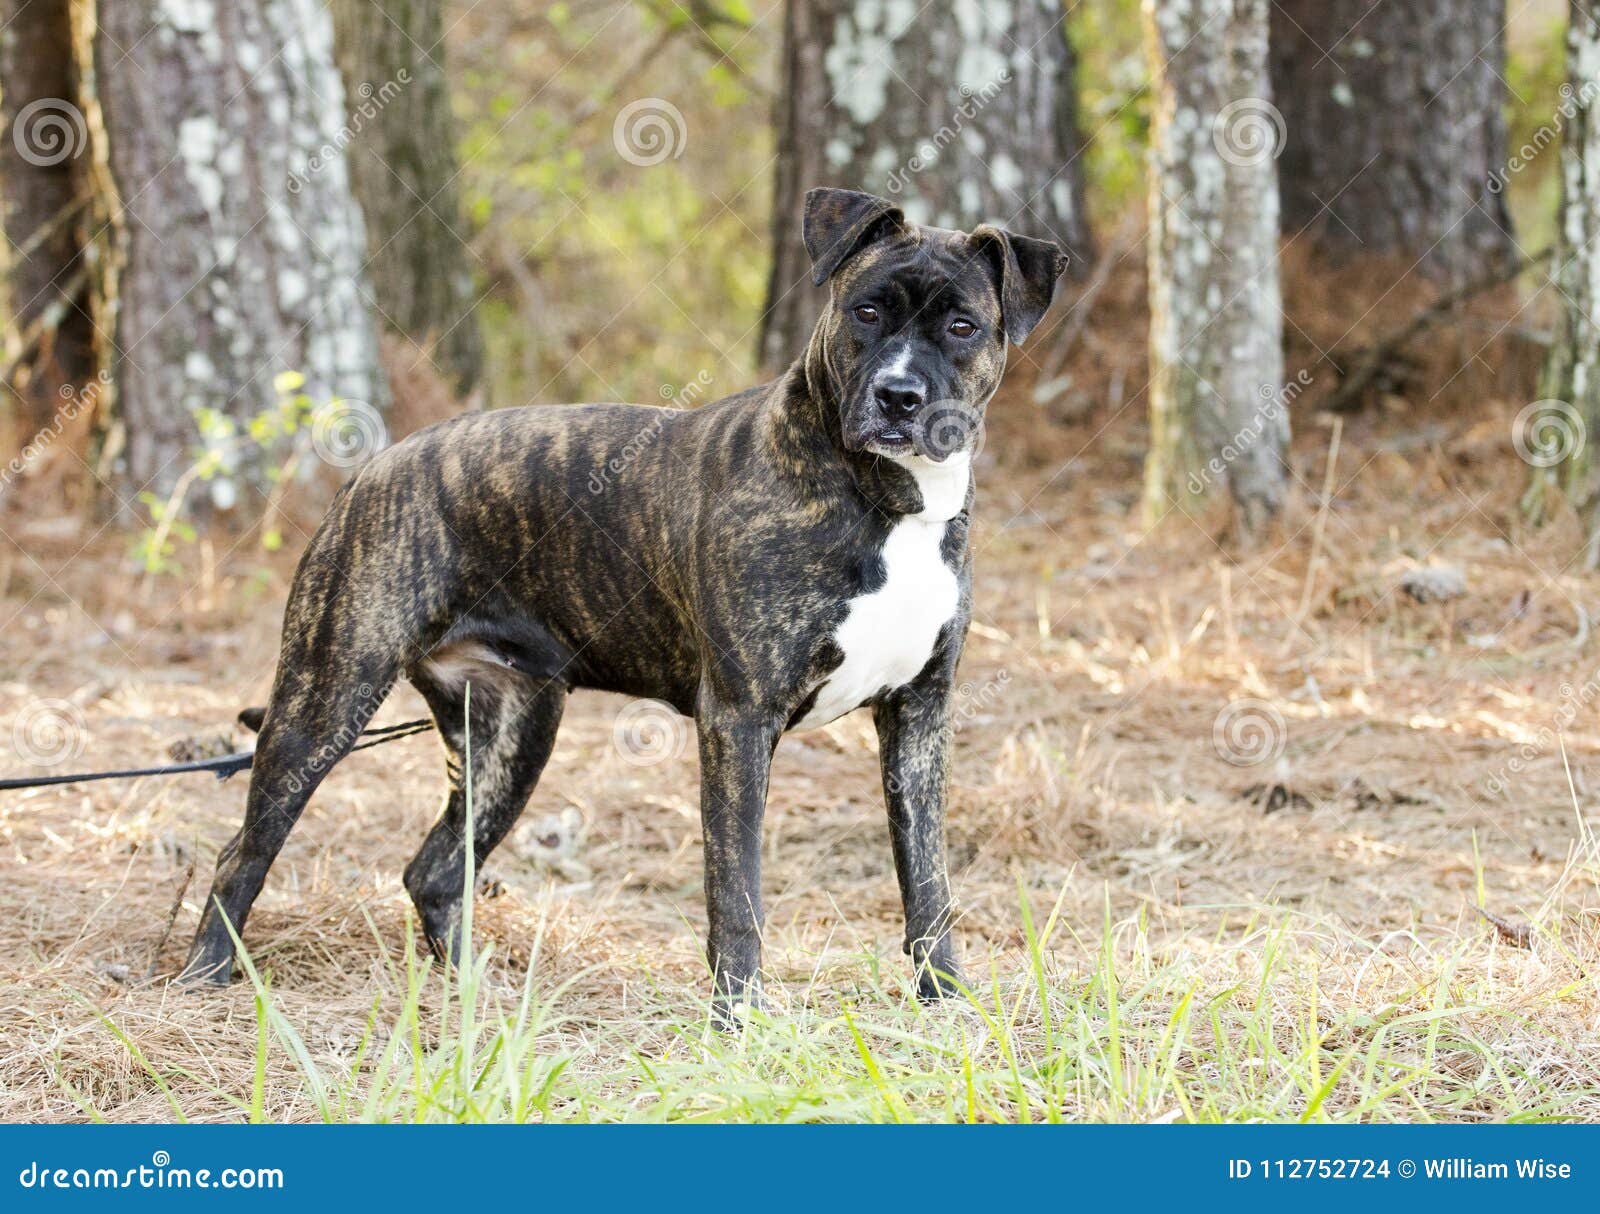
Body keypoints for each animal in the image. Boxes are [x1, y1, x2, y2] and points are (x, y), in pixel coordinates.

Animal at [181, 185, 1068, 1010]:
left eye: (963, 327)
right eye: (867, 310)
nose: (898, 397)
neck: (886, 499)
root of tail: (375, 466)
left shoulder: (918, 715)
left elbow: (928, 880)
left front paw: (946, 1000)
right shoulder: (739, 719)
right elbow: (737, 889)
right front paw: (740, 1020)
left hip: (512, 732)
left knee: (434, 869)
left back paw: (477, 998)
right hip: (325, 699)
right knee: (242, 853)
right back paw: (201, 979)